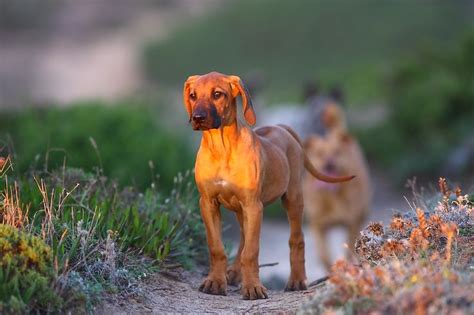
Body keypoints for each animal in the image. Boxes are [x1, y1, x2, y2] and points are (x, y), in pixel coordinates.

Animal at [183, 72, 354, 302]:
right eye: (193, 95)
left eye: (218, 94)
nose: (198, 118)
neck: (221, 147)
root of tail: (282, 127)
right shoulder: (208, 204)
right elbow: (216, 247)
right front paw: (215, 282)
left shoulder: (254, 206)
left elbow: (251, 251)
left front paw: (253, 288)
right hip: (243, 210)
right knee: (243, 239)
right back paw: (235, 273)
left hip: (292, 199)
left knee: (296, 239)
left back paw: (296, 280)